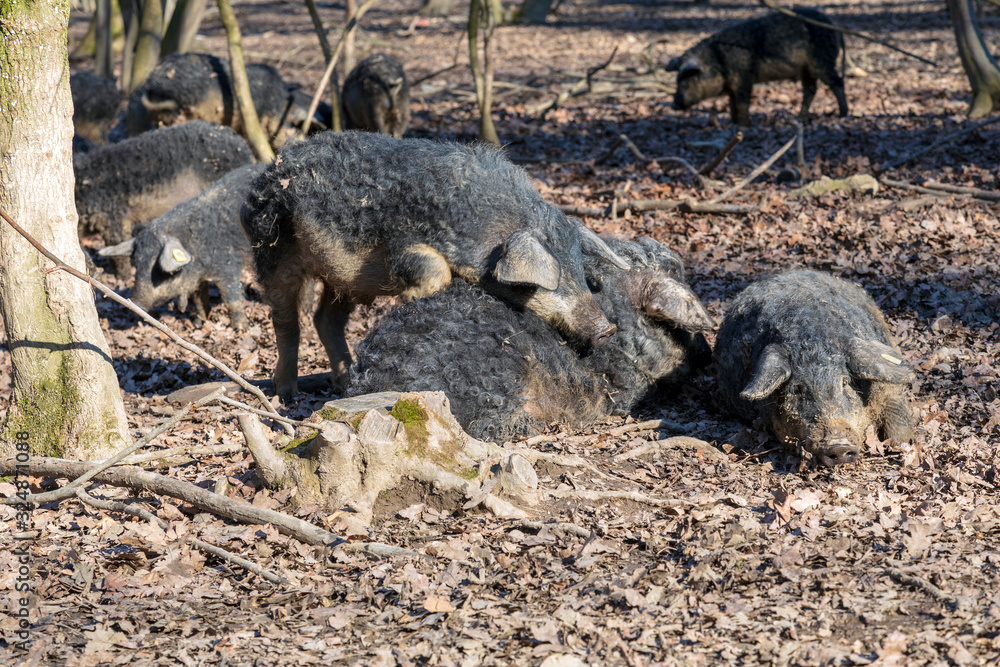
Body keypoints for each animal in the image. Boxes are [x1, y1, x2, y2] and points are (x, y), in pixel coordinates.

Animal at [98, 163, 266, 329]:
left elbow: (231, 299)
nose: (137, 305)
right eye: (137, 265)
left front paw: (239, 329)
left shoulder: (227, 265)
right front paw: (199, 323)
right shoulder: (199, 279)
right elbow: (199, 300)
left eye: (159, 269)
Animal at [240, 130, 630, 401]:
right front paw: (415, 298)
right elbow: (430, 267)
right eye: (550, 280)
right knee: (286, 321)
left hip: (344, 276)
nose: (607, 329)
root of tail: (268, 170)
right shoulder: (401, 247)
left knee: (326, 320)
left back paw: (344, 380)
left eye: (579, 270)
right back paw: (286, 393)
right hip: (271, 249)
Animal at [666, 9, 848, 126]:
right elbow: (731, 103)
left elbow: (742, 102)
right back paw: (801, 117)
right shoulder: (733, 85)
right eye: (677, 79)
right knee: (810, 89)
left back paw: (843, 114)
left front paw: (745, 125)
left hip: (822, 62)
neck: (719, 60)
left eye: (688, 78)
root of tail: (837, 30)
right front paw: (733, 123)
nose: (673, 105)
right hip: (806, 70)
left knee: (836, 83)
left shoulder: (744, 77)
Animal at [714, 270, 916, 467]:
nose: (839, 446)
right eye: (797, 389)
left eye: (845, 382)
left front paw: (906, 452)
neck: (812, 336)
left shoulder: (888, 388)